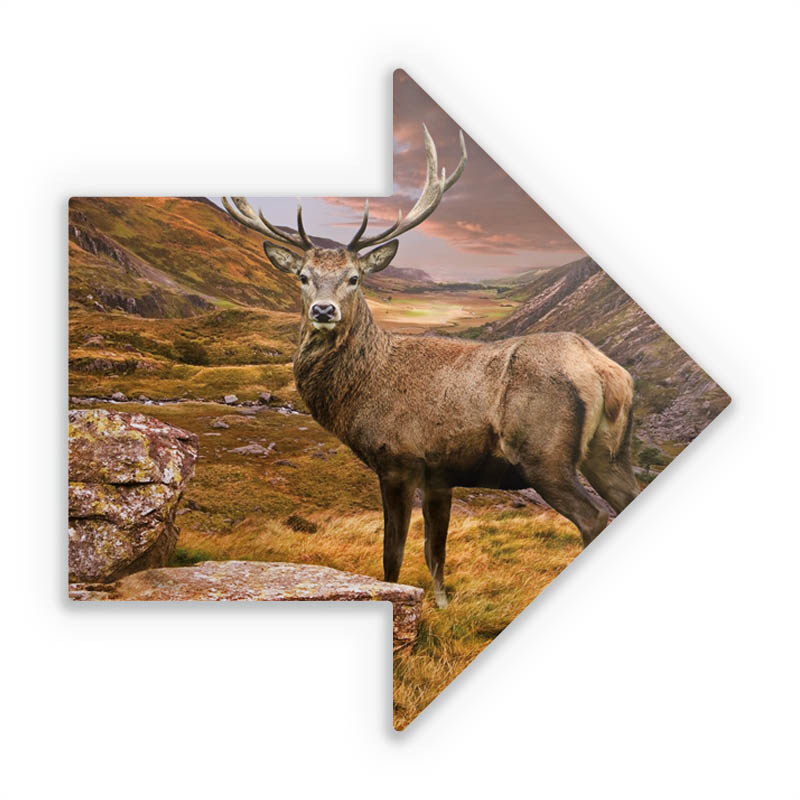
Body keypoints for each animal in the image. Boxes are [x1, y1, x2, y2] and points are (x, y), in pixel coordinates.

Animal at [221, 124, 640, 608]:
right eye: (303, 276)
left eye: (355, 278)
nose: (323, 311)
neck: (362, 391)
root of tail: (606, 372)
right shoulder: (441, 475)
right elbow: (435, 553)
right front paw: (440, 605)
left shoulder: (397, 459)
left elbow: (394, 554)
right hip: (608, 453)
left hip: (545, 454)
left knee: (593, 518)